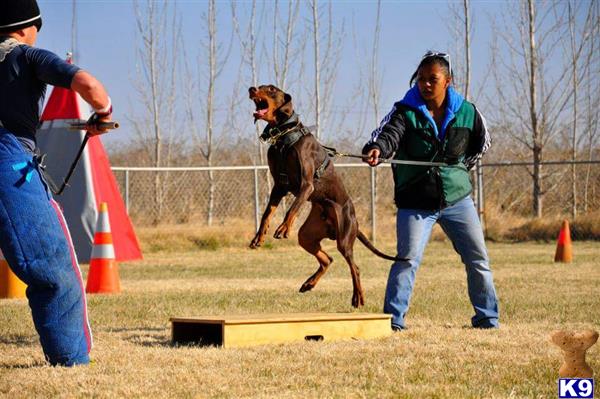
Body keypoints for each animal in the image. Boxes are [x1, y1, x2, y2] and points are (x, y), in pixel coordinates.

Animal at [248, 85, 404, 310]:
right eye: (260, 86)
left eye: (271, 89)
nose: (251, 89)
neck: (284, 136)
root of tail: (354, 220)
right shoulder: (278, 186)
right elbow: (267, 213)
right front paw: (259, 236)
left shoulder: (306, 184)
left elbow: (292, 207)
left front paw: (284, 227)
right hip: (307, 235)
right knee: (328, 259)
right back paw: (309, 284)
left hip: (344, 238)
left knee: (354, 267)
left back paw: (358, 297)